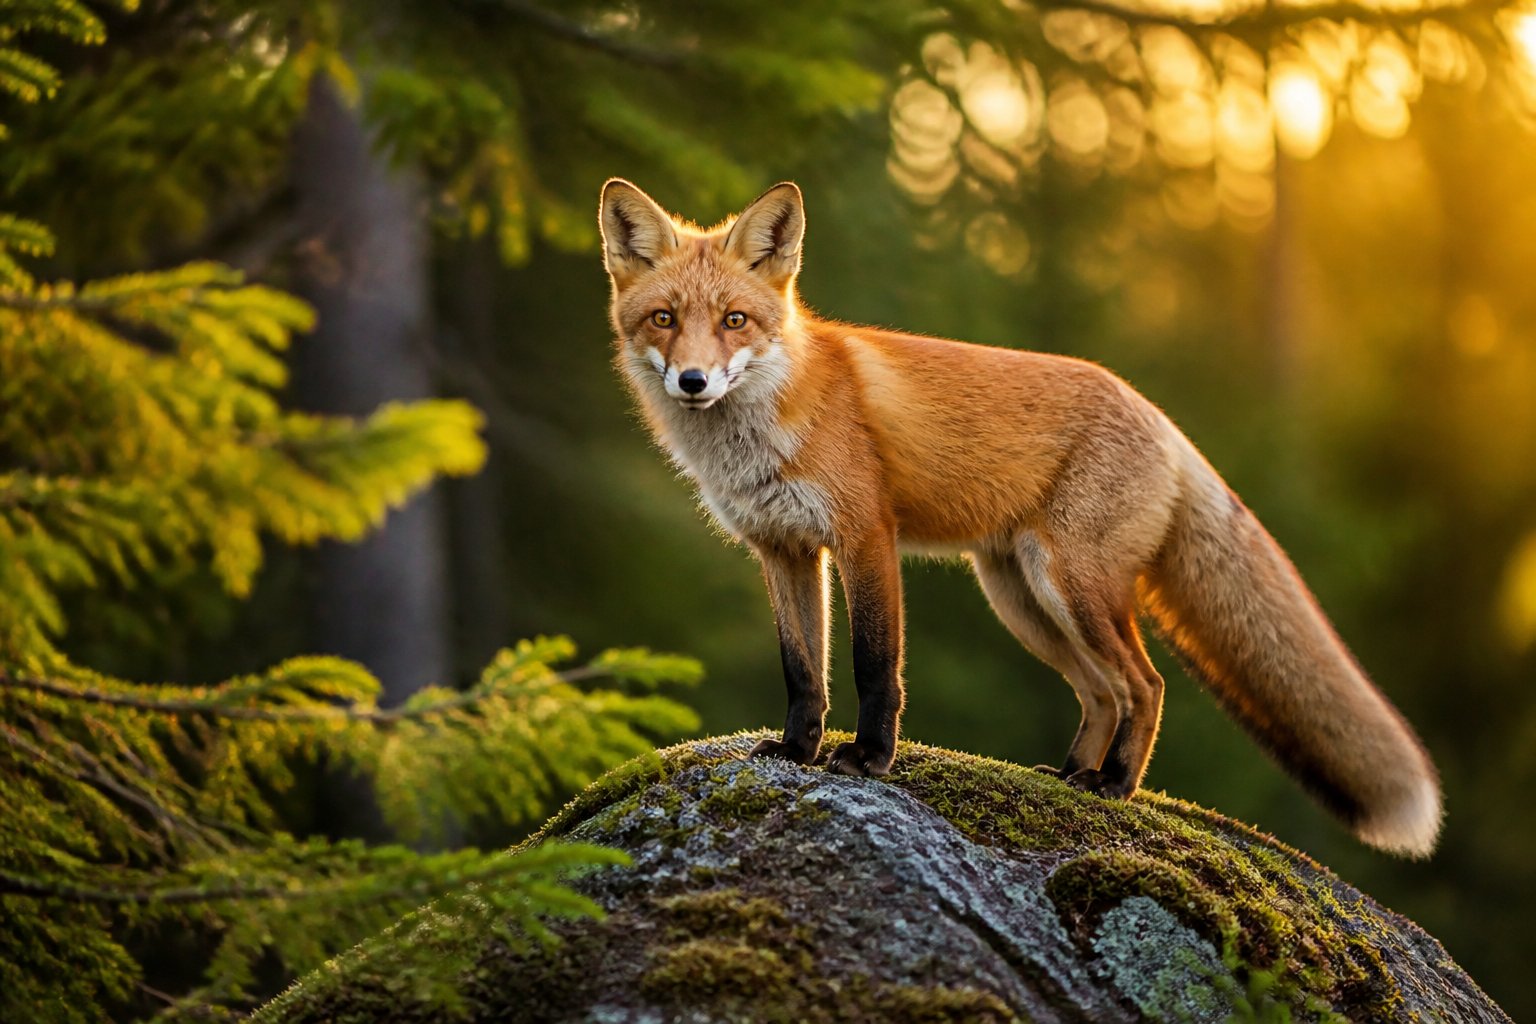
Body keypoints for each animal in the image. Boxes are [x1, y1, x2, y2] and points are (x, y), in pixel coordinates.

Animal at [598, 177, 1443, 857]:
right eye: (665, 318)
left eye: (735, 320)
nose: (693, 381)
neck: (765, 427)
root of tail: (1159, 419)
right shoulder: (782, 550)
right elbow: (802, 667)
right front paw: (796, 750)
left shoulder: (866, 537)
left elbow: (874, 665)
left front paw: (869, 761)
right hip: (1022, 598)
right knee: (1102, 692)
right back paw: (1071, 774)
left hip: (1072, 586)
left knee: (1145, 686)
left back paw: (1114, 786)